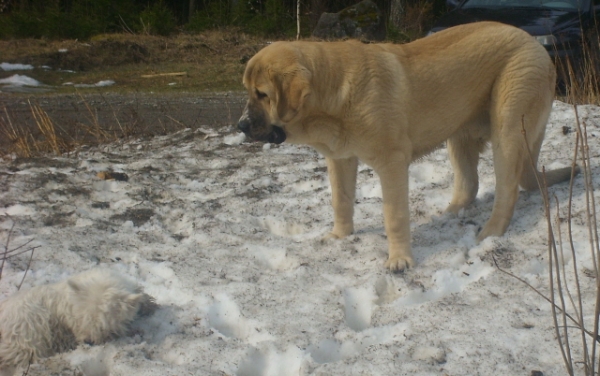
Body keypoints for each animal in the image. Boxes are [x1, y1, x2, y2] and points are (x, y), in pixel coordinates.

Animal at [238, 22, 576, 272]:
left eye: (263, 94)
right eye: (249, 92)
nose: (240, 125)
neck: (332, 94)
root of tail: (533, 40)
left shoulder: (392, 163)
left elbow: (394, 215)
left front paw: (399, 260)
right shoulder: (341, 158)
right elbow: (341, 200)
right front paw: (340, 236)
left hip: (508, 125)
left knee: (507, 191)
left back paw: (491, 232)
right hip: (459, 135)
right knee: (470, 183)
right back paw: (451, 212)